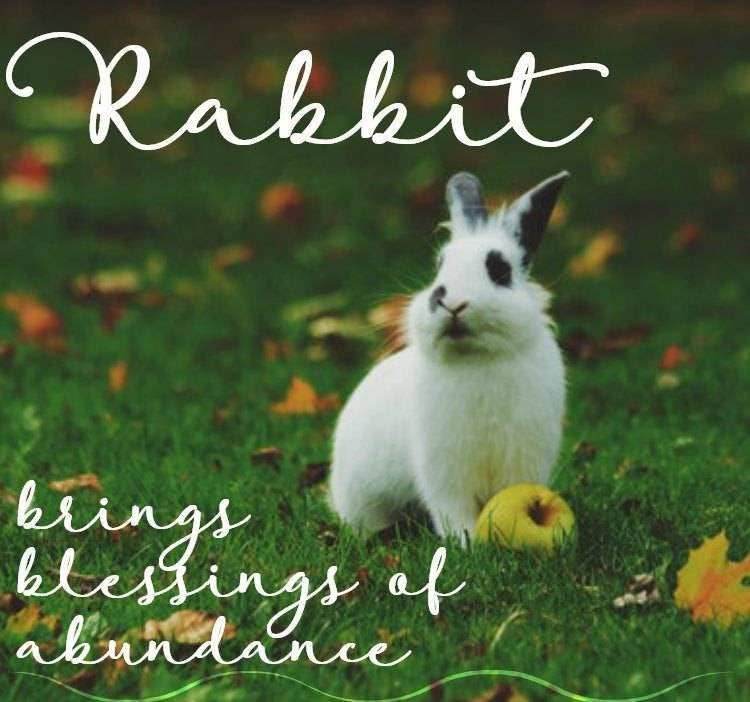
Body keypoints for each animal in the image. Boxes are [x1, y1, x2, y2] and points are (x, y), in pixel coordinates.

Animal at [330, 171, 568, 545]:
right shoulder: (443, 470)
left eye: (499, 270)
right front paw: (466, 543)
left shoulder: (522, 460)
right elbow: (451, 509)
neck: (478, 357)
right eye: (439, 267)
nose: (450, 302)